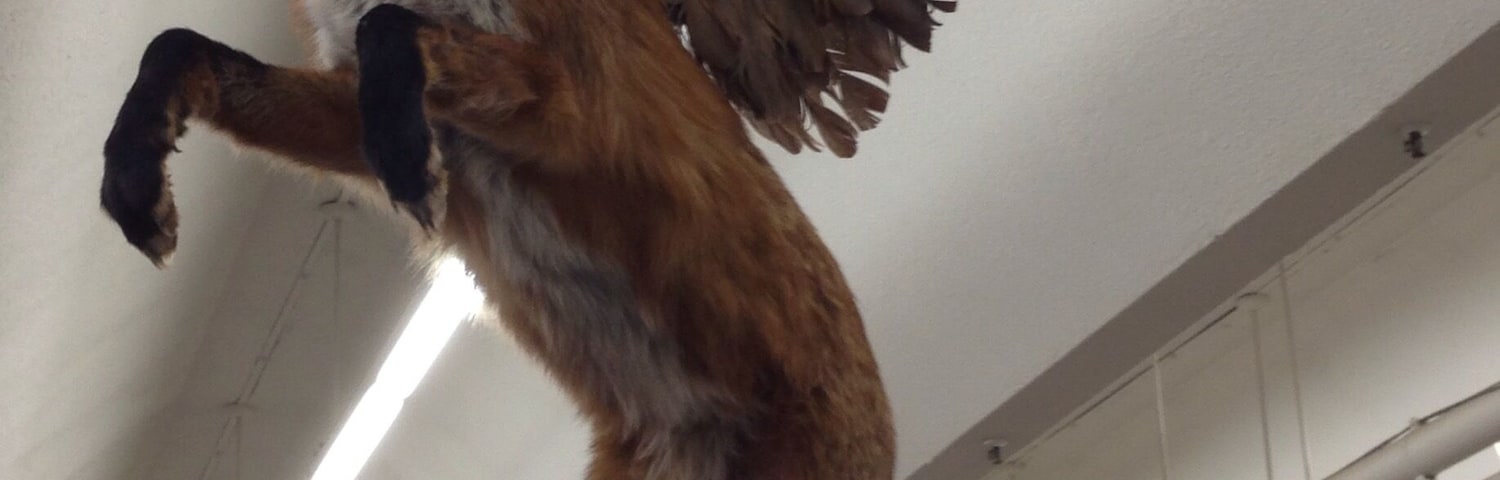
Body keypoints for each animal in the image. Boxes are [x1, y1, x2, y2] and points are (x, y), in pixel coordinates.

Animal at [98, 0, 952, 478]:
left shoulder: (577, 105)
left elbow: (388, 25)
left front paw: (406, 154)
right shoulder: (354, 115)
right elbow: (176, 44)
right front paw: (134, 175)